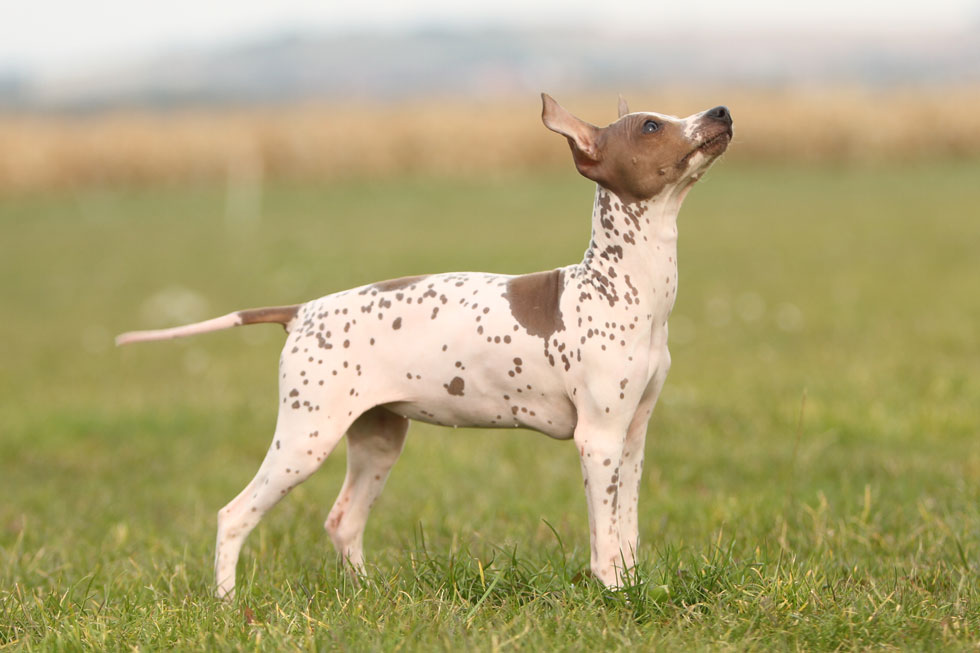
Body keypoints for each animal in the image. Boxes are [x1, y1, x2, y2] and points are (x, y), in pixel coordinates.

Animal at [115, 94, 732, 600]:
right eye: (651, 126)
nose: (721, 112)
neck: (619, 285)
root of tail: (302, 311)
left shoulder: (631, 437)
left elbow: (625, 530)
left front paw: (630, 586)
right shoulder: (597, 440)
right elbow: (604, 537)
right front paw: (611, 595)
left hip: (378, 440)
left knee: (342, 521)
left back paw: (367, 594)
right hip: (305, 439)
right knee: (234, 514)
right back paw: (226, 604)